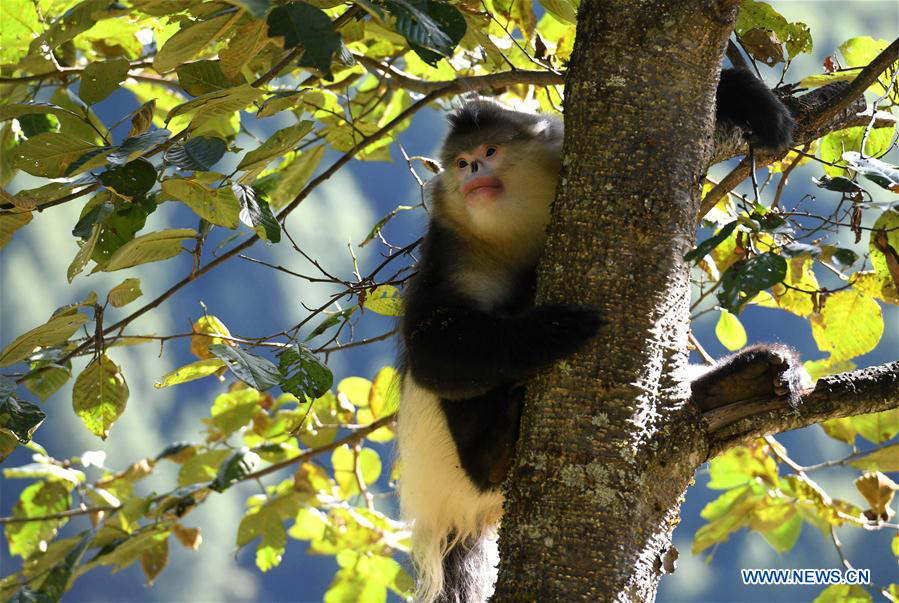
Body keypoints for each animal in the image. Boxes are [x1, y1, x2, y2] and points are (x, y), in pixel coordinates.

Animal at [396, 68, 806, 603]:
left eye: (489, 151)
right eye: (462, 161)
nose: (471, 172)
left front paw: (752, 100)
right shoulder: (450, 253)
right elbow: (431, 354)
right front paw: (551, 330)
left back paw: (741, 382)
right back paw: (496, 450)